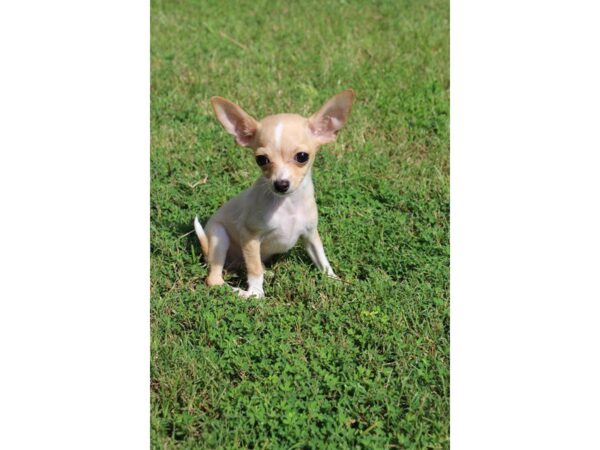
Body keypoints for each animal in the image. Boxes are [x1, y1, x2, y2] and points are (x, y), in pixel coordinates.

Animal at [192, 89, 354, 298]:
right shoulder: (250, 237)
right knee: (214, 279)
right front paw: (255, 293)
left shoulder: (310, 235)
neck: (288, 204)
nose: (281, 184)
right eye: (261, 159)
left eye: (302, 157)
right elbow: (254, 270)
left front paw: (335, 280)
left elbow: (322, 260)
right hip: (219, 237)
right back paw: (239, 292)